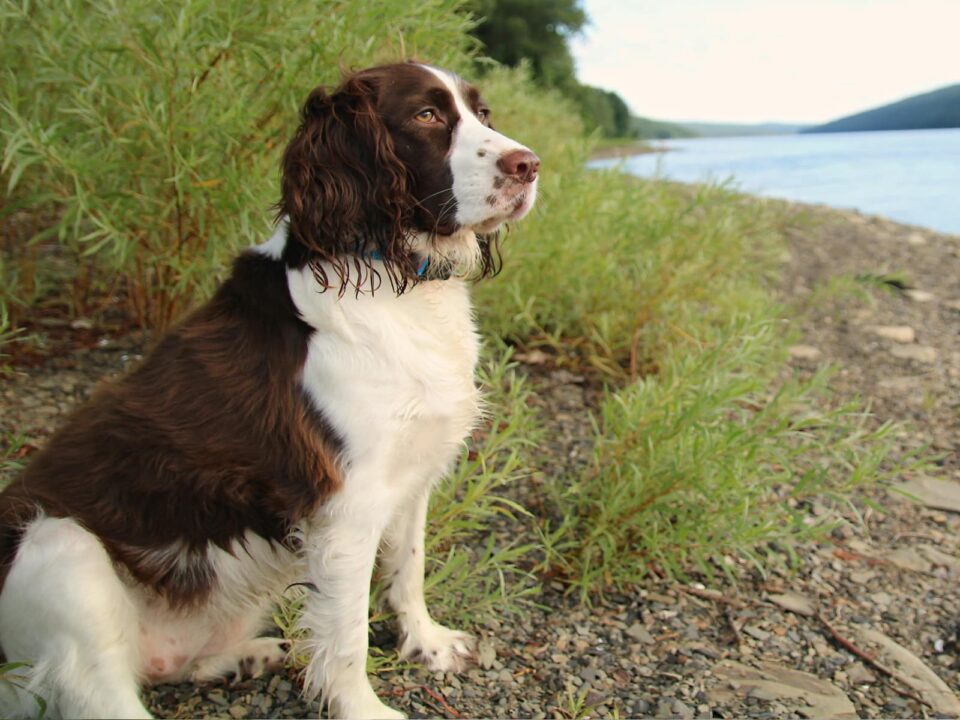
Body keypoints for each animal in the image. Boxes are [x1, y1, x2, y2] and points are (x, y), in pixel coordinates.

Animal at [0, 63, 540, 720]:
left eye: (481, 114)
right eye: (426, 115)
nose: (529, 165)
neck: (394, 280)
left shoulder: (413, 472)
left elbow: (408, 569)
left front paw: (427, 643)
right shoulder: (345, 507)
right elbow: (347, 636)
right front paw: (364, 708)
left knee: (172, 665)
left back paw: (243, 657)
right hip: (60, 550)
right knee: (100, 690)